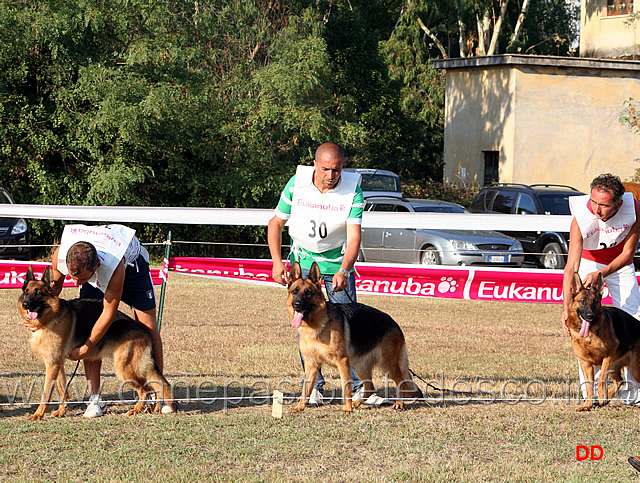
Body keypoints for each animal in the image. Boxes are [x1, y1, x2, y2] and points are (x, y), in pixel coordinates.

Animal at [18, 266, 174, 422]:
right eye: (26, 292)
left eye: (38, 293)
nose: (25, 304)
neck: (50, 317)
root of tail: (144, 330)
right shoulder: (57, 363)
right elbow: (62, 389)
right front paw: (61, 411)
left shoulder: (52, 365)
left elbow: (46, 392)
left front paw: (38, 414)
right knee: (155, 385)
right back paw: (153, 407)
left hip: (124, 369)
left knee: (145, 389)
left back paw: (136, 410)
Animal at [288, 262, 422, 414]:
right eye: (294, 291)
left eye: (308, 293)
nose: (297, 305)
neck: (316, 325)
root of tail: (393, 322)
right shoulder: (311, 364)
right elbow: (306, 389)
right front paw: (299, 407)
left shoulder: (342, 362)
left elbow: (346, 387)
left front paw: (347, 409)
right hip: (361, 366)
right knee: (370, 387)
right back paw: (357, 402)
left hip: (387, 364)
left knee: (401, 382)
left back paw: (399, 403)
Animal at [568, 272, 640, 412]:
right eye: (582, 301)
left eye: (595, 302)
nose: (590, 316)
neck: (589, 335)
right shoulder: (585, 363)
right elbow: (589, 384)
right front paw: (588, 405)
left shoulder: (607, 357)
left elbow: (601, 377)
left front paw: (601, 396)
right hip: (614, 367)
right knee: (620, 380)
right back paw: (606, 399)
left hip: (634, 369)